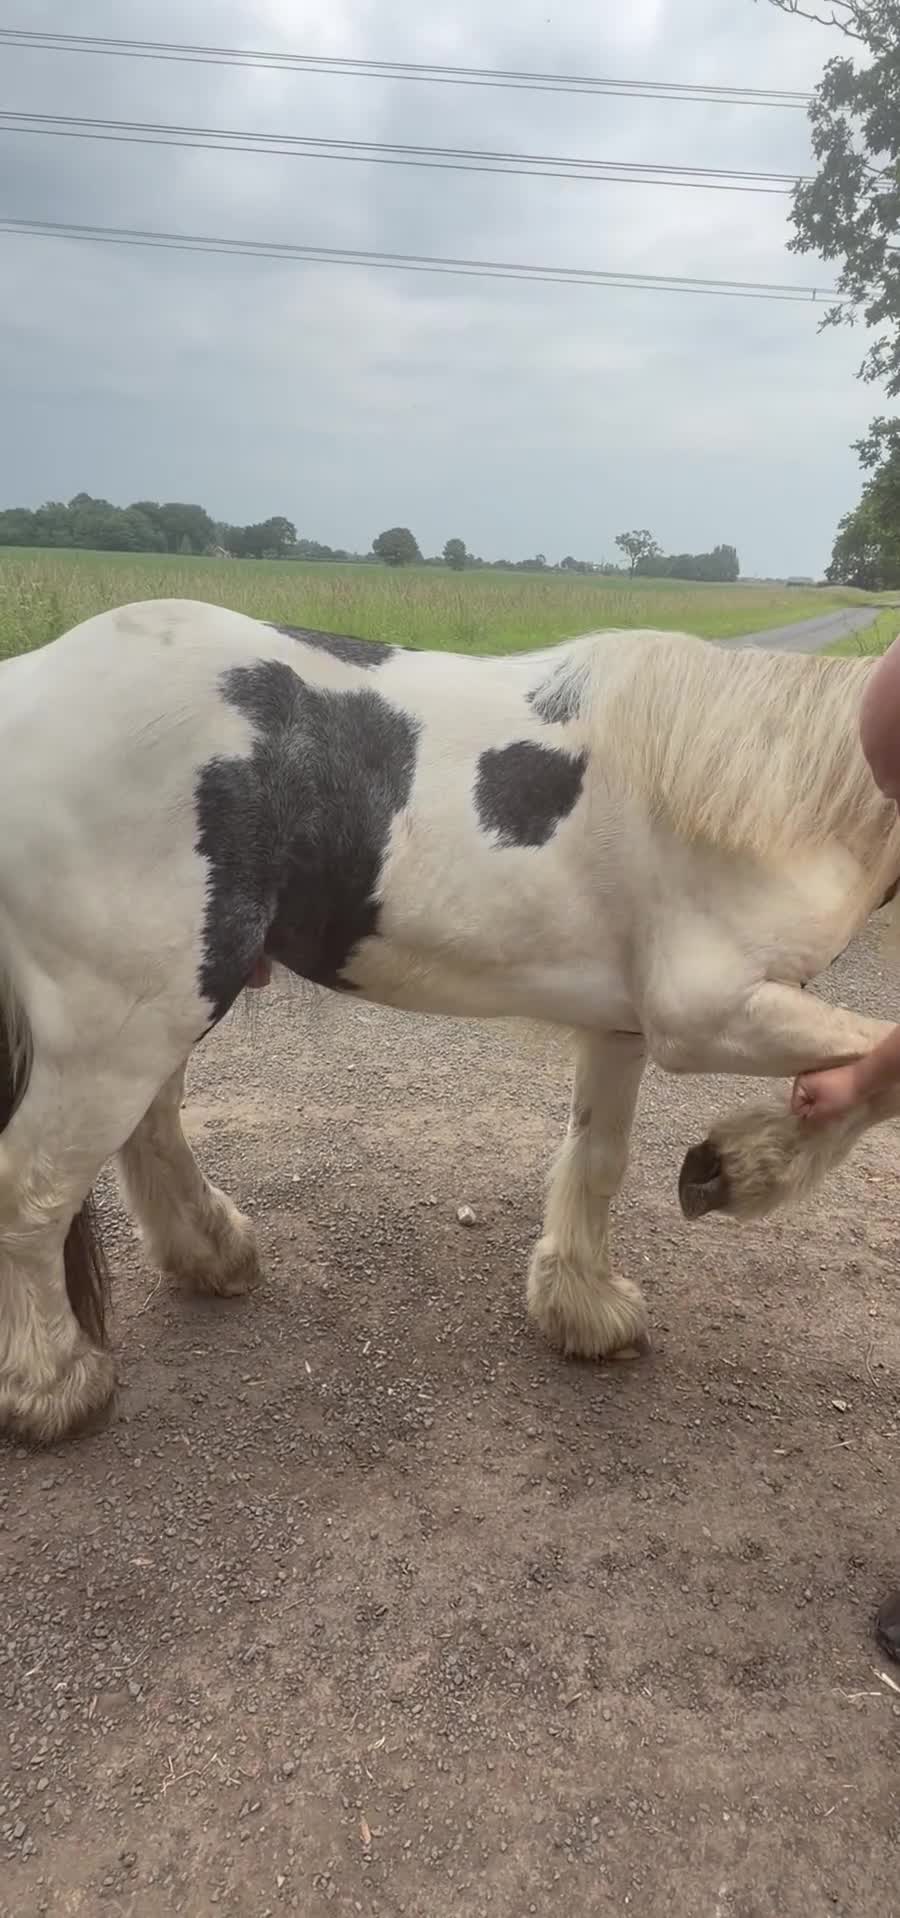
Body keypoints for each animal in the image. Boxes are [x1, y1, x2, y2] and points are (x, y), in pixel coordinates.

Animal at [2, 597, 899, 1447]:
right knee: (34, 1188)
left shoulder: (624, 1028)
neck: (774, 789)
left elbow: (599, 1158)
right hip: (122, 1024)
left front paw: (584, 1306)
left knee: (148, 1131)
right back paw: (54, 1385)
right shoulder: (705, 1014)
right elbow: (874, 1065)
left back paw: (211, 1254)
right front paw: (737, 1169)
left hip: (157, 1012)